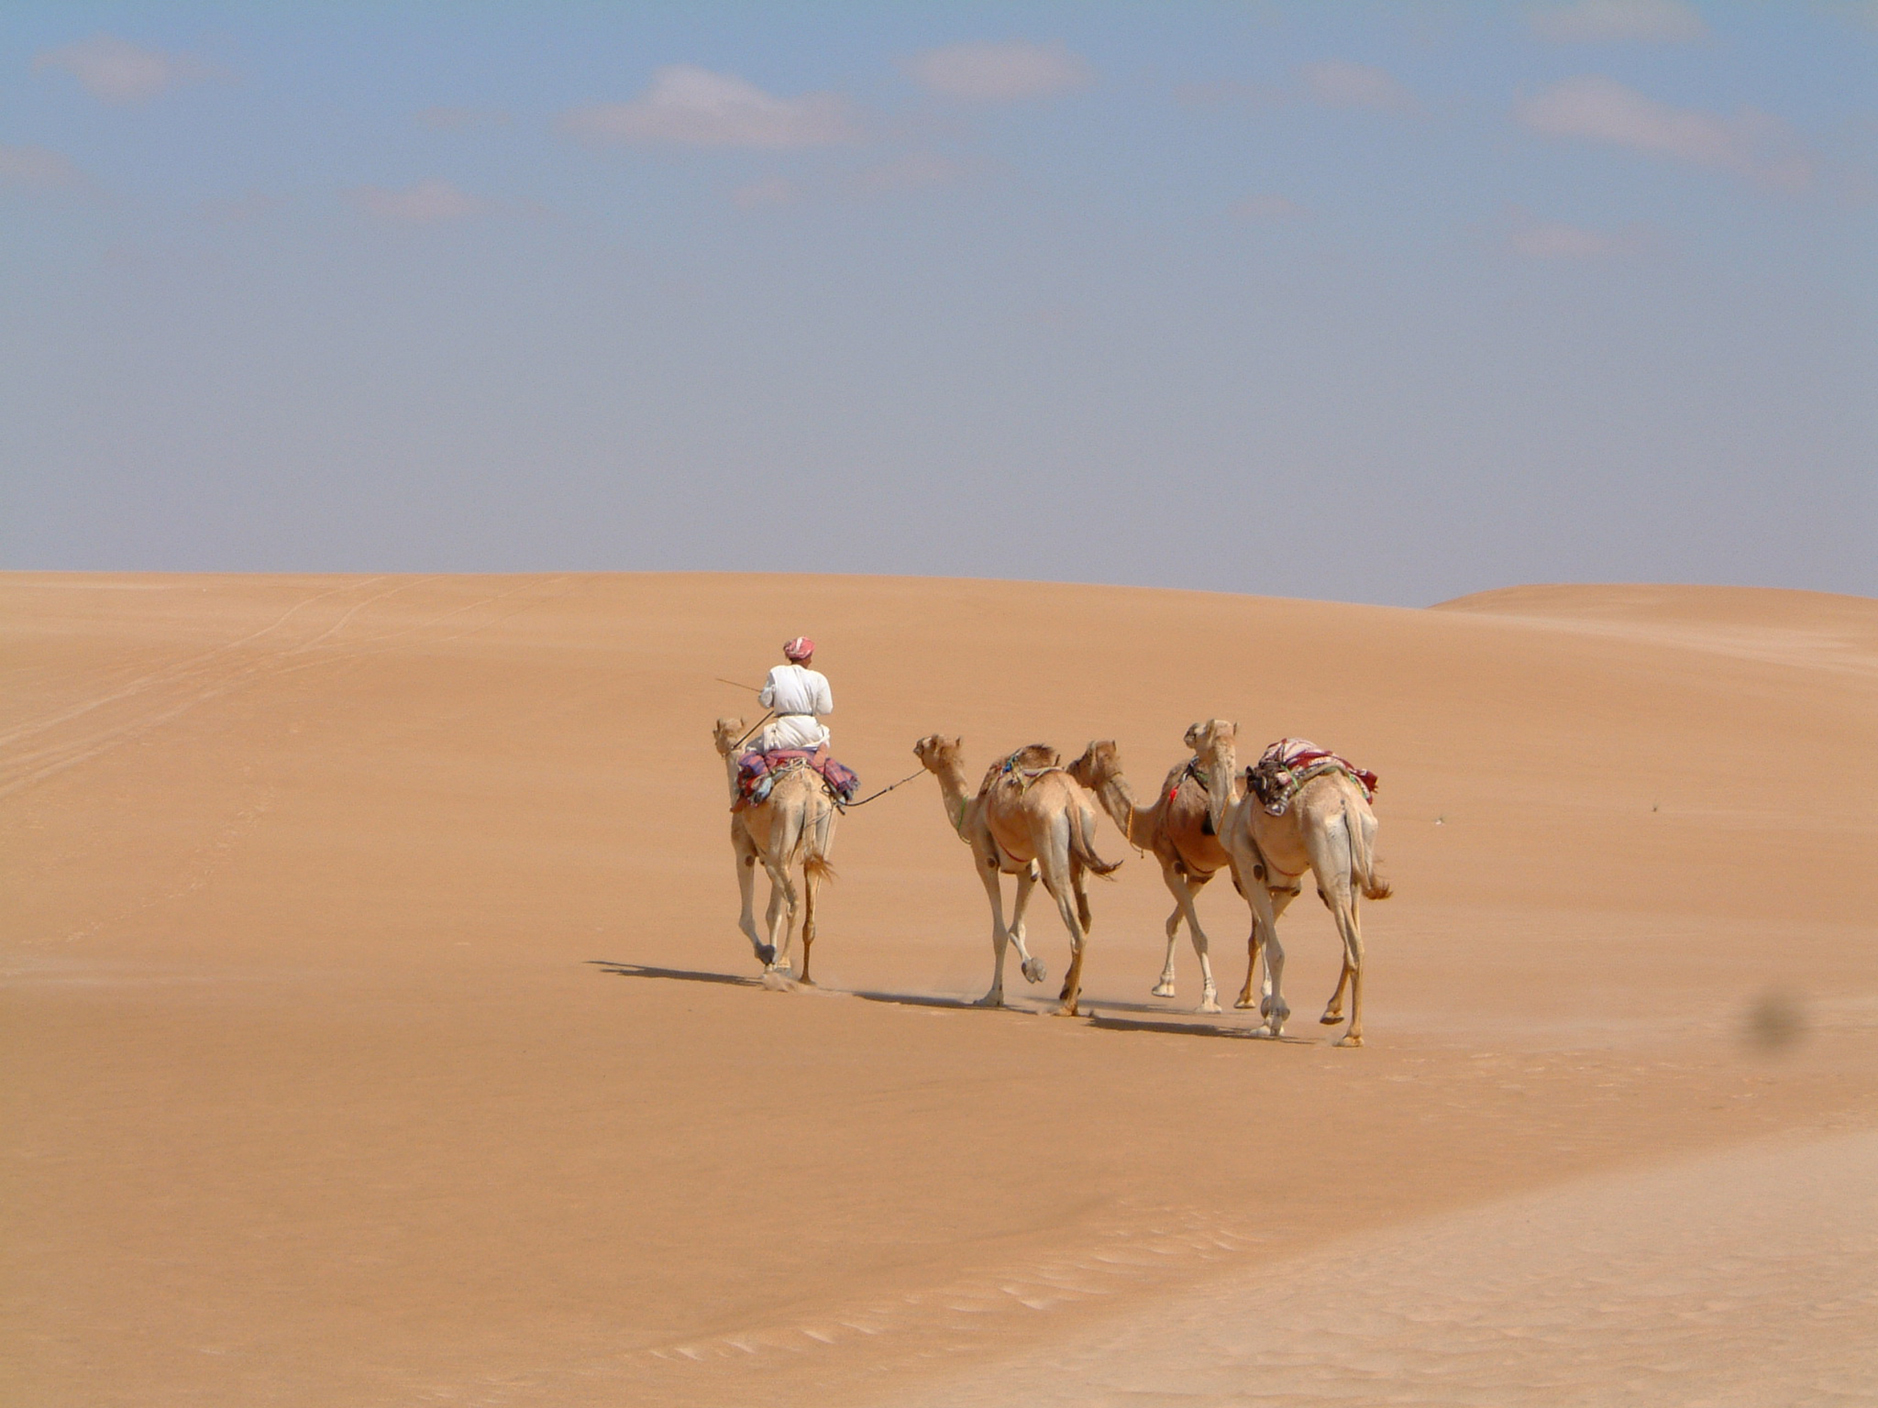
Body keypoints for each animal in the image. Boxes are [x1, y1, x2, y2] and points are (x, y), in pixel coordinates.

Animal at [713, 717, 841, 983]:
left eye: (714, 732)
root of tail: (809, 796)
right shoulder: (775, 859)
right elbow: (773, 913)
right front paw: (768, 965)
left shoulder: (745, 852)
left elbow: (747, 918)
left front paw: (766, 955)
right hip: (818, 837)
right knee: (811, 897)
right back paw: (804, 975)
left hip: (781, 841)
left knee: (795, 903)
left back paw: (784, 964)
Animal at [916, 739, 1119, 1013]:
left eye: (929, 742)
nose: (916, 745)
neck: (971, 811)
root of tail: (1069, 801)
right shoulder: (1027, 872)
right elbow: (1017, 928)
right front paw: (1032, 969)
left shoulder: (986, 862)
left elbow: (1000, 933)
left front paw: (994, 995)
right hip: (1083, 844)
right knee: (1085, 917)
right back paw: (1070, 994)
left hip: (1050, 848)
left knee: (1075, 928)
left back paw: (1066, 1006)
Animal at [1066, 728, 1239, 1013]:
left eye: (1083, 758)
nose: (1069, 767)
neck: (1152, 817)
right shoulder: (1199, 873)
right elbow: (1174, 922)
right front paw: (1165, 984)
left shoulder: (1169, 865)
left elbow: (1197, 934)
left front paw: (1209, 998)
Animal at [1194, 728, 1389, 1051]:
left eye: (1200, 734)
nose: (1188, 735)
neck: (1231, 816)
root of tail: (1347, 804)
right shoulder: (1287, 884)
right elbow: (1263, 934)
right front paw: (1270, 1011)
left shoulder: (1250, 867)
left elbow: (1273, 946)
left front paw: (1271, 1020)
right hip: (1357, 863)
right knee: (1355, 934)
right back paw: (1333, 1011)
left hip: (1327, 866)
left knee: (1353, 945)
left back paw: (1352, 1033)